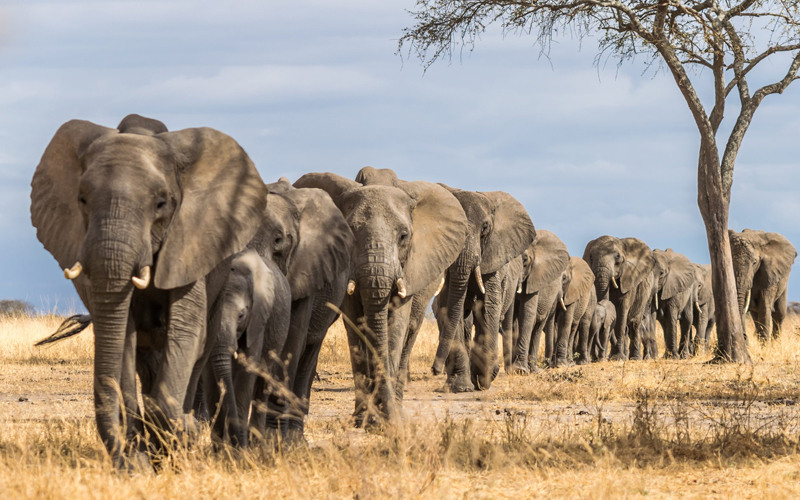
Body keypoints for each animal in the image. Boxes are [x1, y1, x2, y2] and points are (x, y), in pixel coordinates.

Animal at [29, 115, 268, 466]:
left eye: (161, 203)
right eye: (82, 199)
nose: (123, 461)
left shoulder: (190, 242)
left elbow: (186, 330)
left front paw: (181, 433)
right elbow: (122, 337)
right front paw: (139, 460)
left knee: (198, 351)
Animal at [205, 248, 292, 448]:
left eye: (241, 316)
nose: (235, 442)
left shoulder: (257, 317)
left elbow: (246, 370)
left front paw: (239, 449)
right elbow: (210, 376)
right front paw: (218, 449)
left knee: (262, 382)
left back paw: (256, 443)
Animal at [247, 177, 354, 442]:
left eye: (278, 240)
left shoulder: (307, 268)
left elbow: (292, 339)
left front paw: (275, 439)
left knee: (308, 353)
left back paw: (296, 435)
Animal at [294, 172, 468, 426]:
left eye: (404, 236)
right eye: (349, 233)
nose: (385, 419)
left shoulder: (410, 268)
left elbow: (396, 327)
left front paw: (386, 419)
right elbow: (356, 327)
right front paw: (364, 420)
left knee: (410, 332)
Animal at [432, 186, 536, 392]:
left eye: (485, 228)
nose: (434, 370)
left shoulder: (493, 257)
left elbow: (488, 306)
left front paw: (483, 378)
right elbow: (450, 308)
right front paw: (461, 387)